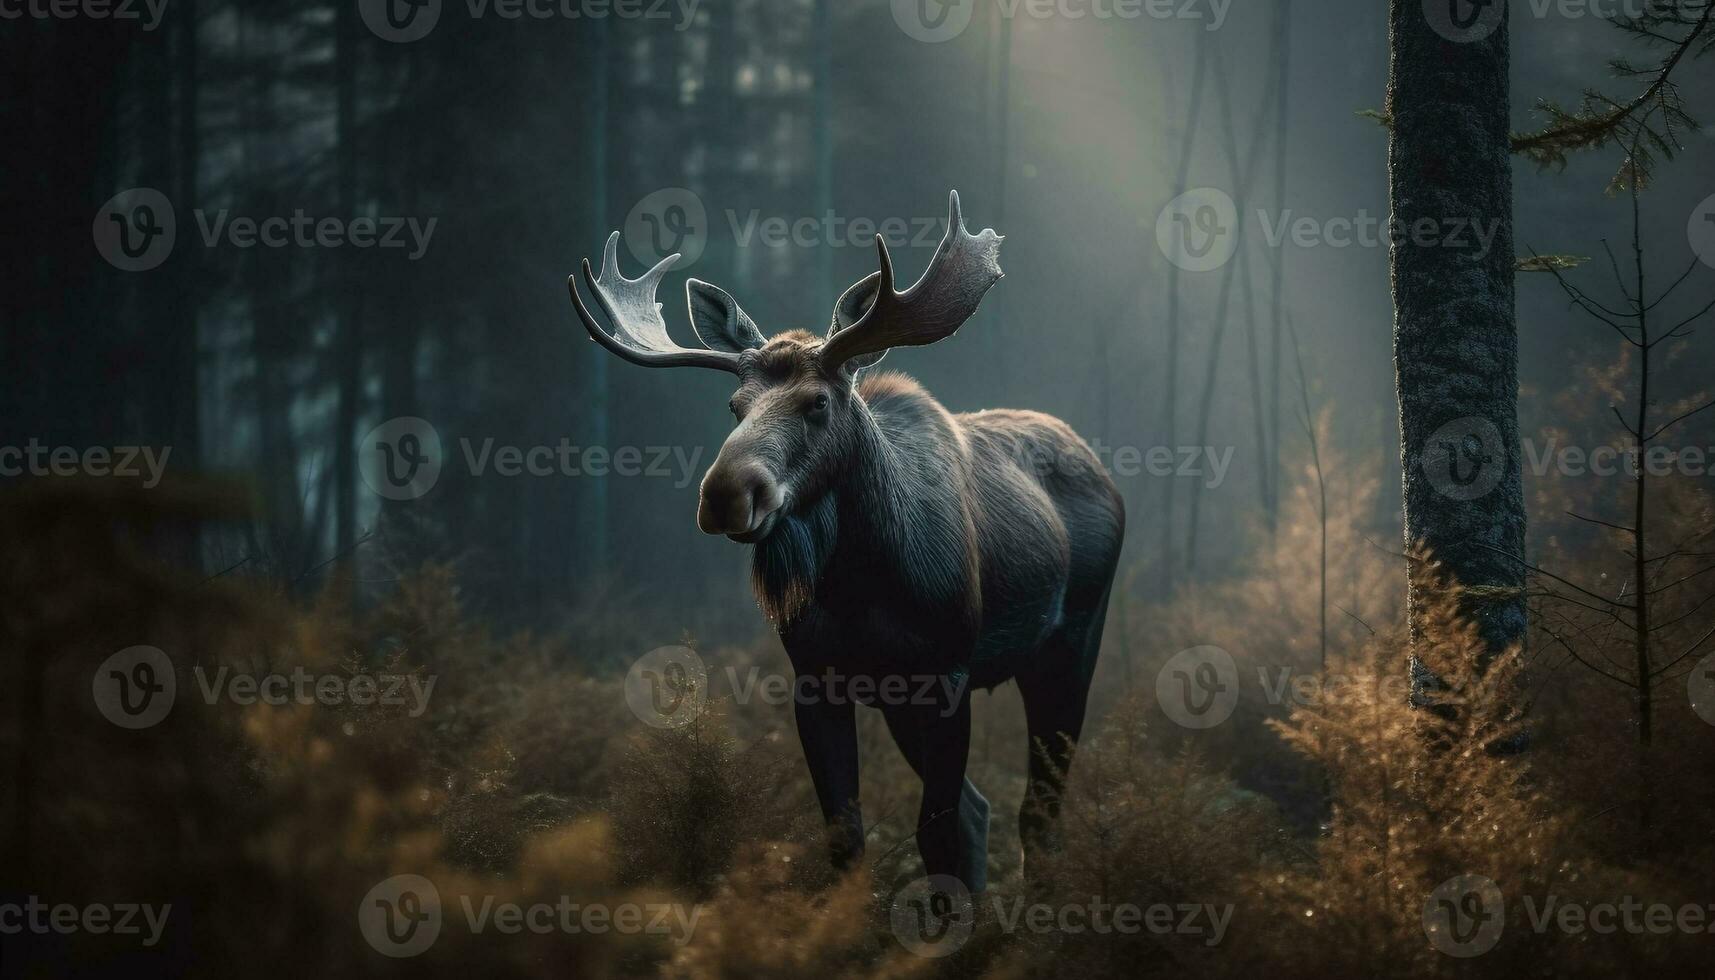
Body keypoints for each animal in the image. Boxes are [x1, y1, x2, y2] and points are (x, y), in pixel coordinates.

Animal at [565, 191, 1125, 892]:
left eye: (818, 403)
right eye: (734, 405)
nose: (725, 493)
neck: (860, 583)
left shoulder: (947, 677)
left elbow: (934, 834)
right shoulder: (817, 680)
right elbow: (845, 835)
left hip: (1072, 641)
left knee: (1038, 812)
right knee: (983, 808)